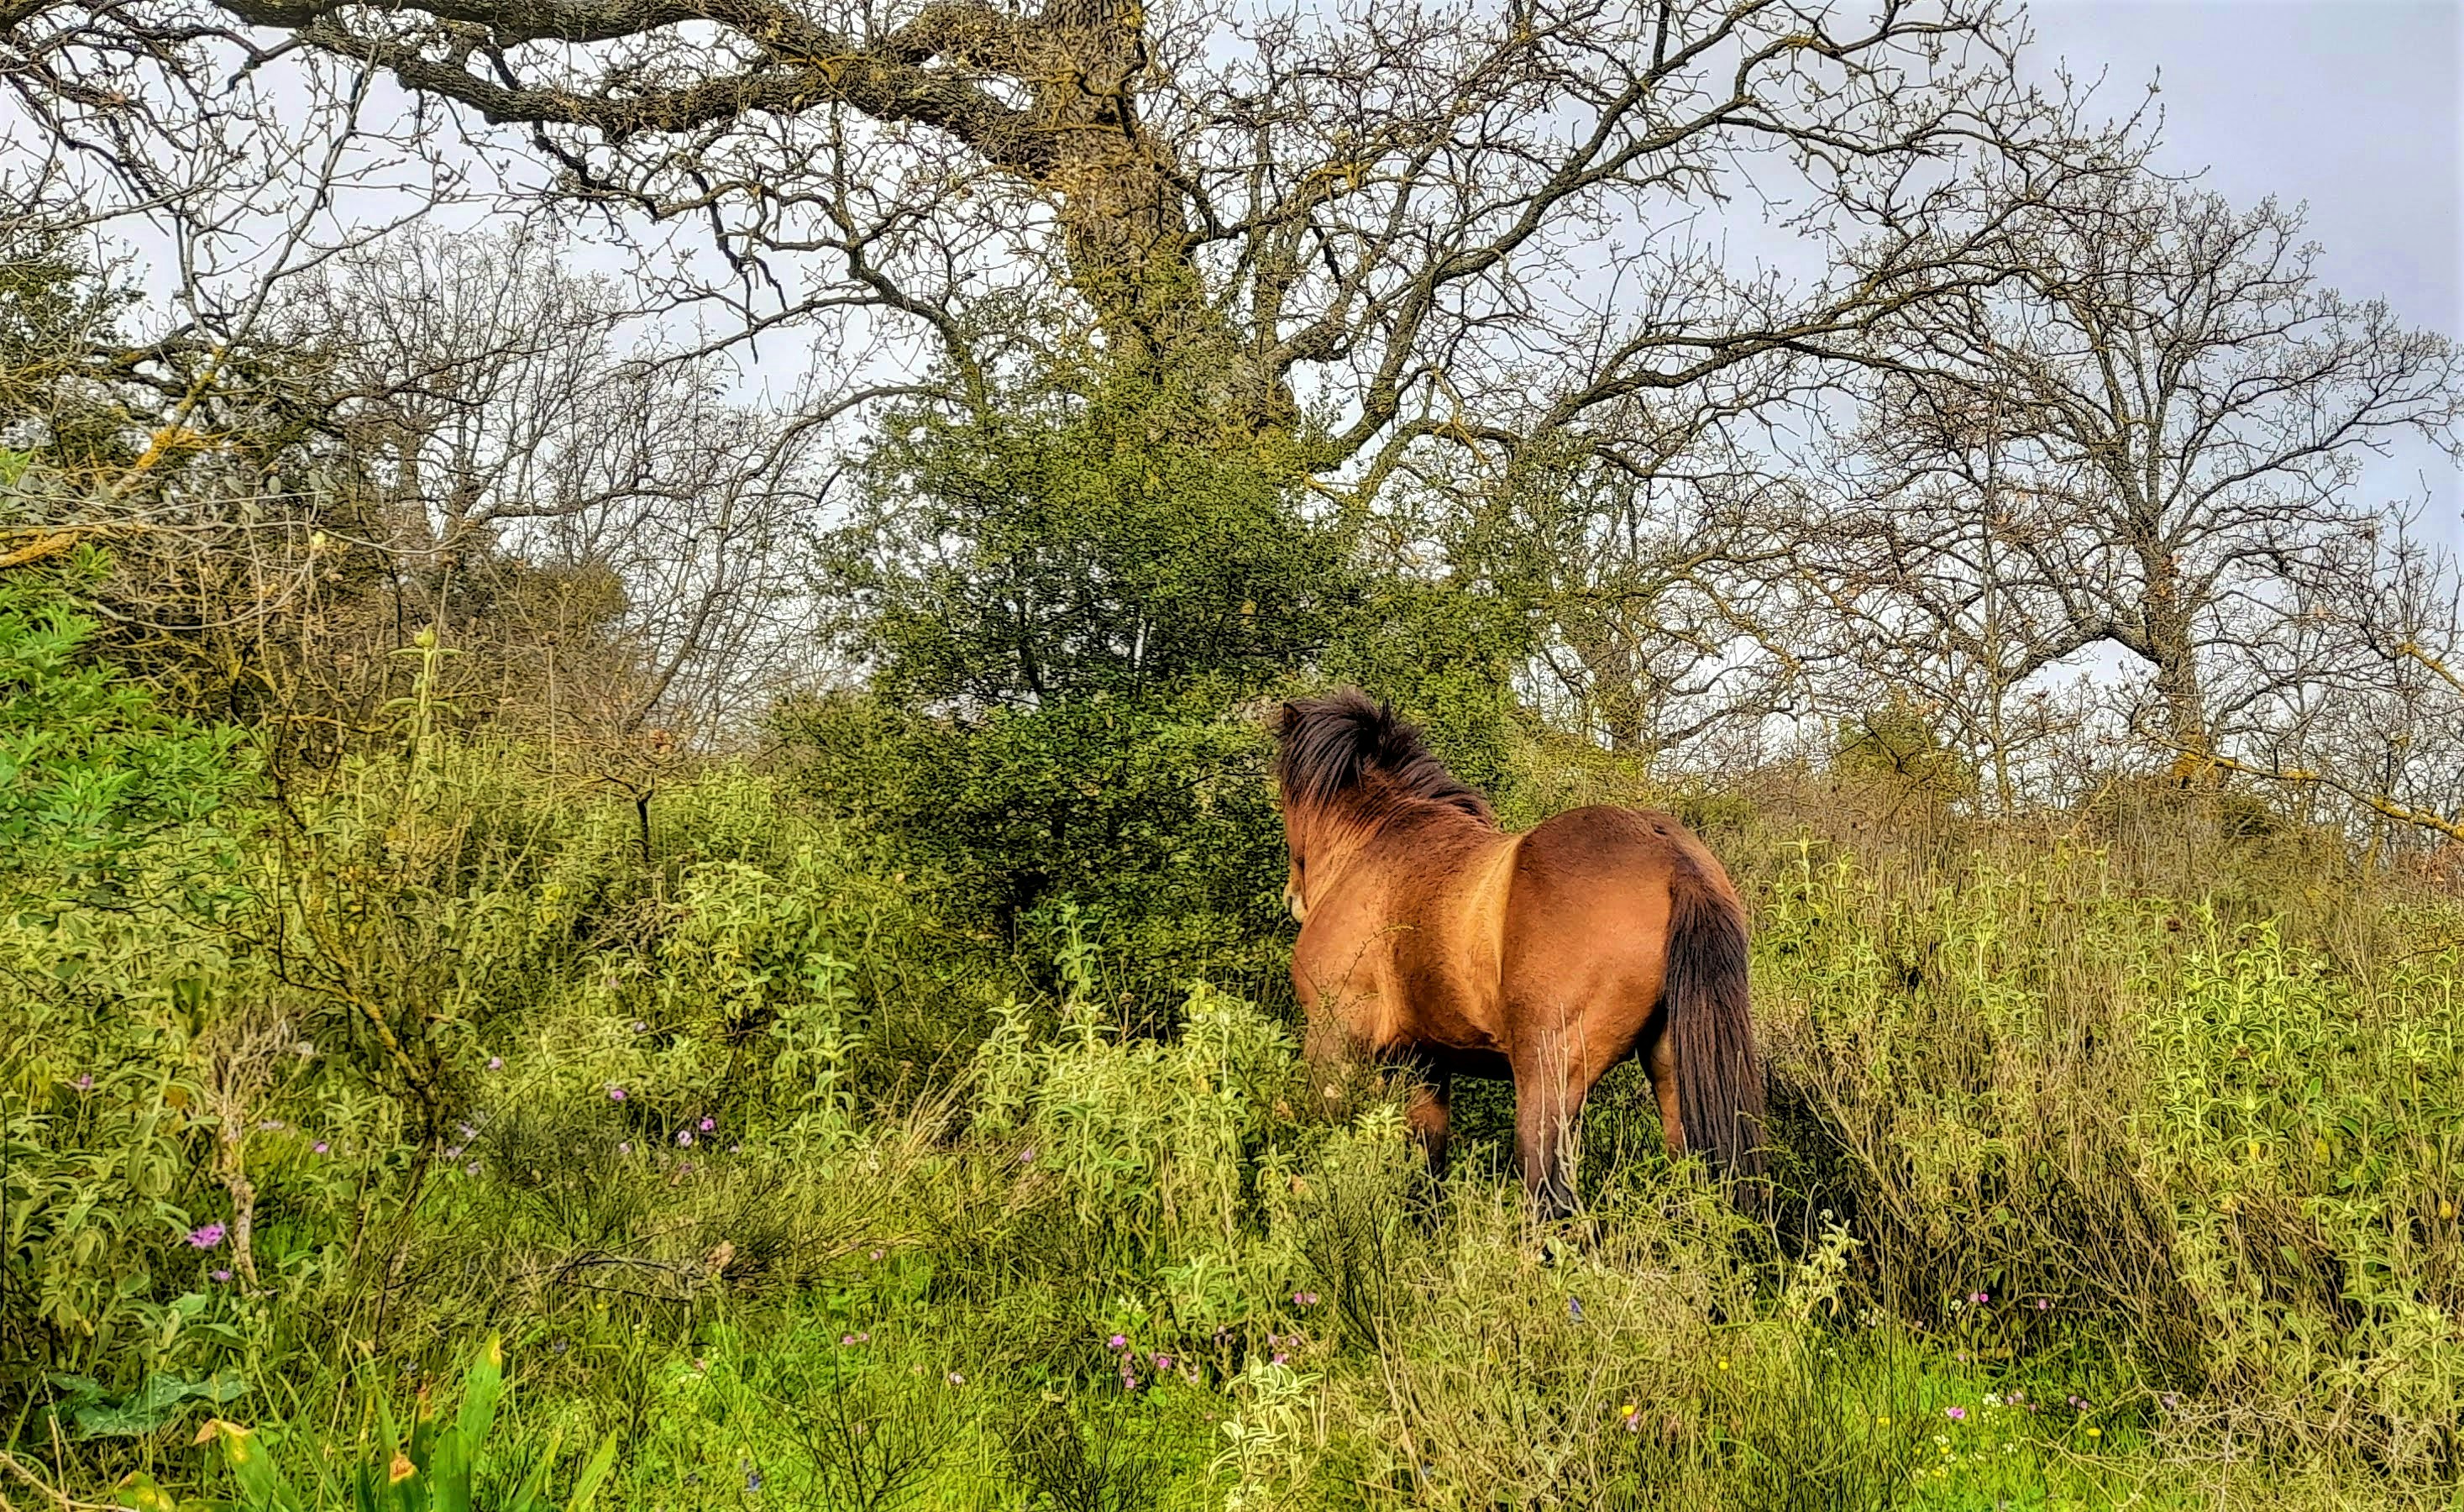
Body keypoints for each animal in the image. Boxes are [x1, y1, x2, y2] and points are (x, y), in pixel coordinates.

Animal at [1273, 688, 1765, 1218]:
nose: (1294, 897)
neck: (1374, 845)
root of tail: (1672, 858)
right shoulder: (1425, 1063)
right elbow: (1426, 1169)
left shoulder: (1334, 1045)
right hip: (1670, 1072)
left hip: (1547, 1079)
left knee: (1550, 1195)